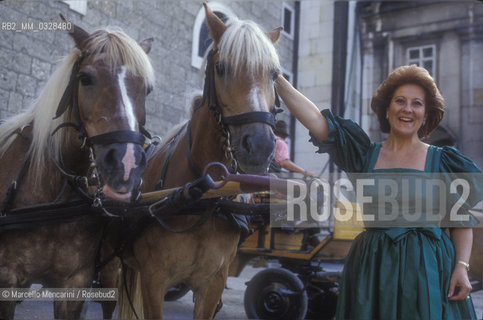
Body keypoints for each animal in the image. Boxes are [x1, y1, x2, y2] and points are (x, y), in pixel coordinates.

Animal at [116, 3, 284, 318]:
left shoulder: (213, 283)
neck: (201, 195)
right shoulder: (154, 279)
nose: (260, 146)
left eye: (273, 74)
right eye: (222, 68)